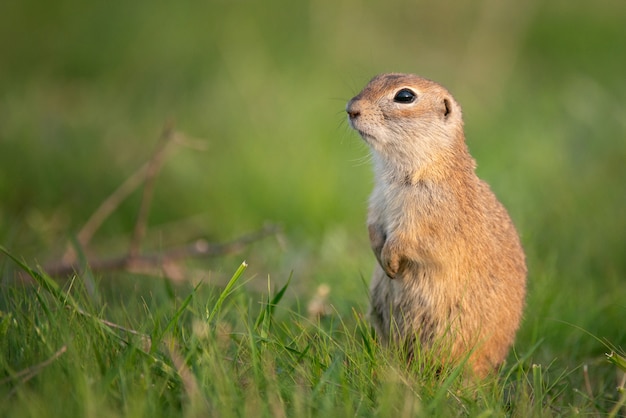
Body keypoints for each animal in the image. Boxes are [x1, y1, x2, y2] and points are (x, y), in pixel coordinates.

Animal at [344, 73, 524, 378]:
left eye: (405, 96)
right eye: (373, 79)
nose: (350, 109)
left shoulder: (432, 215)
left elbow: (412, 240)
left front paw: (390, 262)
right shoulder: (377, 200)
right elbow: (373, 227)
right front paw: (379, 253)